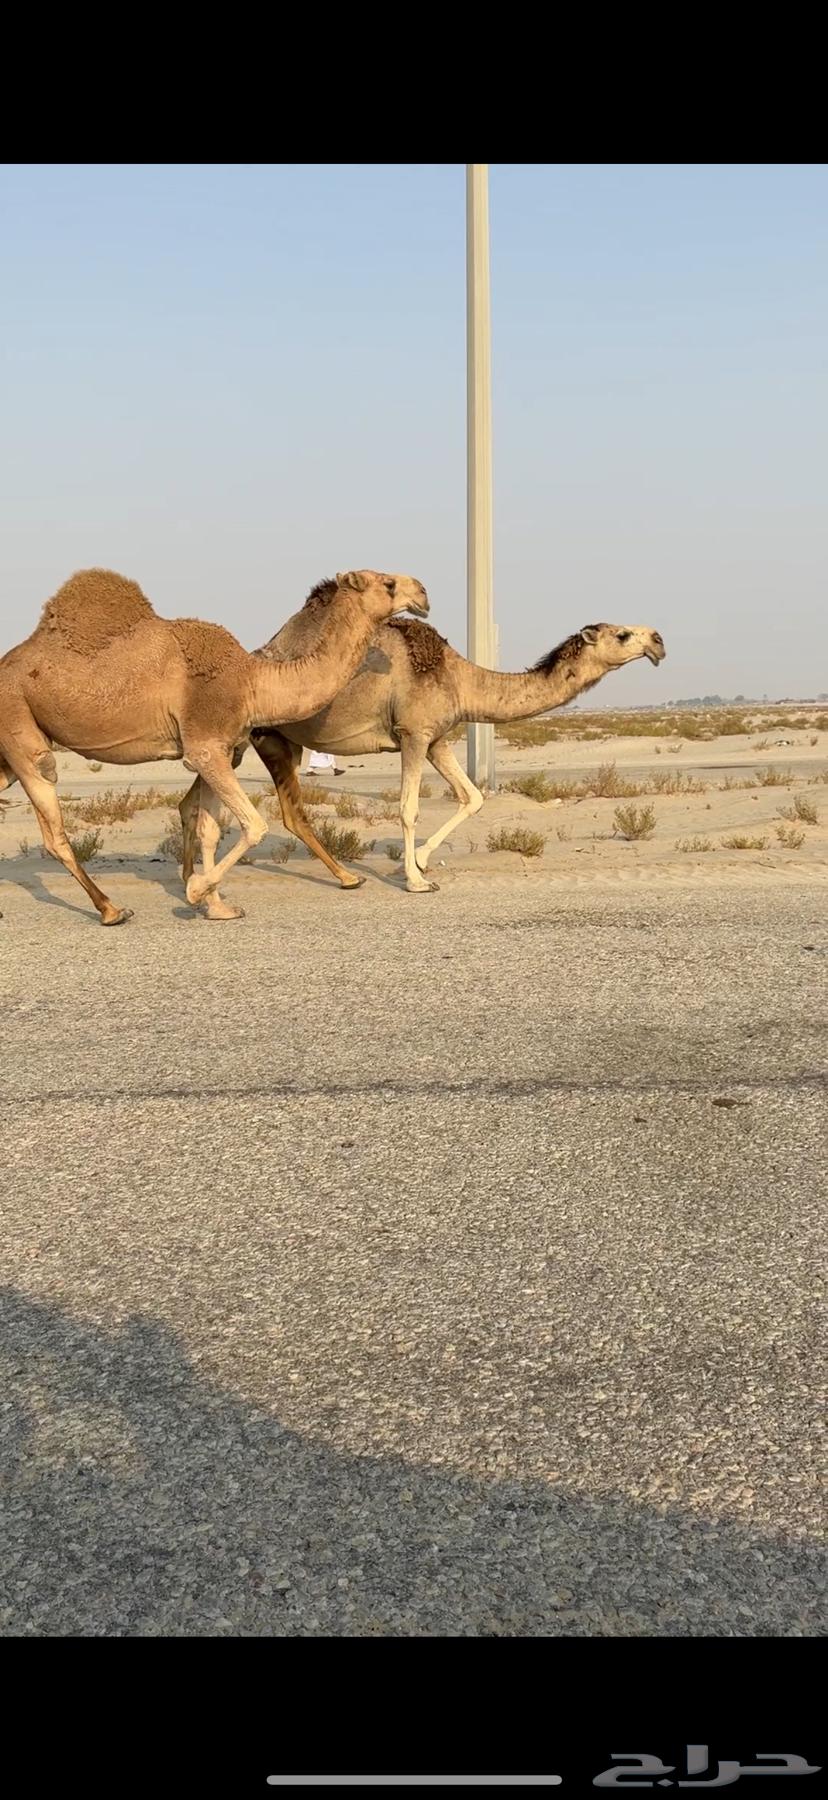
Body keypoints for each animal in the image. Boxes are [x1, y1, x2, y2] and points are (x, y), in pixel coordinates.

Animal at [0, 566, 429, 923]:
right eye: (388, 583)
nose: (423, 592)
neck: (252, 681)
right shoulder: (205, 745)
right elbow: (254, 824)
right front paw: (195, 891)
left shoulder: (219, 749)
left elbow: (209, 827)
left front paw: (218, 906)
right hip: (19, 727)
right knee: (52, 823)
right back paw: (111, 909)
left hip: (6, 753)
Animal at [179, 584, 665, 893]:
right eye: (622, 634)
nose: (658, 640)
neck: (459, 677)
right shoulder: (412, 733)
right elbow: (409, 808)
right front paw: (416, 880)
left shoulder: (437, 738)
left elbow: (473, 797)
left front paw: (421, 861)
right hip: (263, 738)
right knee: (287, 812)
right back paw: (340, 877)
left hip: (253, 741)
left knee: (195, 803)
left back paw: (194, 880)